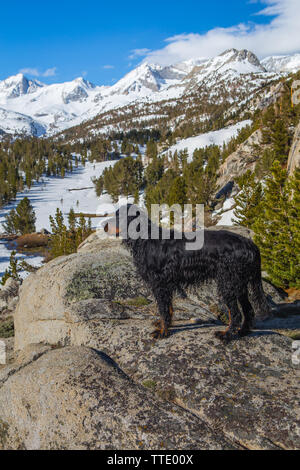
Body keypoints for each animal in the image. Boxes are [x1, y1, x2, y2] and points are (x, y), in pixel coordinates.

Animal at [105, 204, 270, 344]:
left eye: (118, 216)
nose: (104, 226)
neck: (146, 238)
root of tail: (250, 244)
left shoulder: (159, 283)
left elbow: (163, 309)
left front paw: (163, 332)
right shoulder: (166, 283)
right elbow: (169, 308)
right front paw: (165, 325)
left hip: (227, 282)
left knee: (235, 313)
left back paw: (226, 335)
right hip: (239, 283)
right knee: (248, 310)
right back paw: (242, 331)